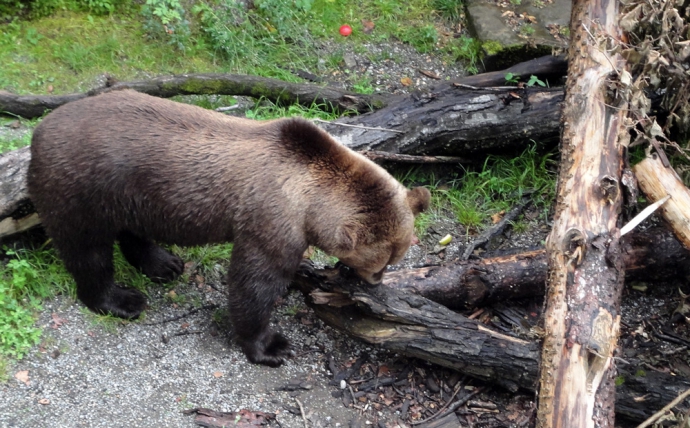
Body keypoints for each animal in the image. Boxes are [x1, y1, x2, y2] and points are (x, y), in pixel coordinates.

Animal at [28, 88, 430, 366]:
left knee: (131, 230)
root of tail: (38, 131)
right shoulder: (269, 217)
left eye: (393, 258)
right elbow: (253, 282)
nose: (375, 282)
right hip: (81, 187)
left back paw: (164, 263)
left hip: (129, 192)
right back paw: (121, 299)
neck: (309, 196)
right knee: (87, 250)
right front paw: (271, 345)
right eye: (380, 263)